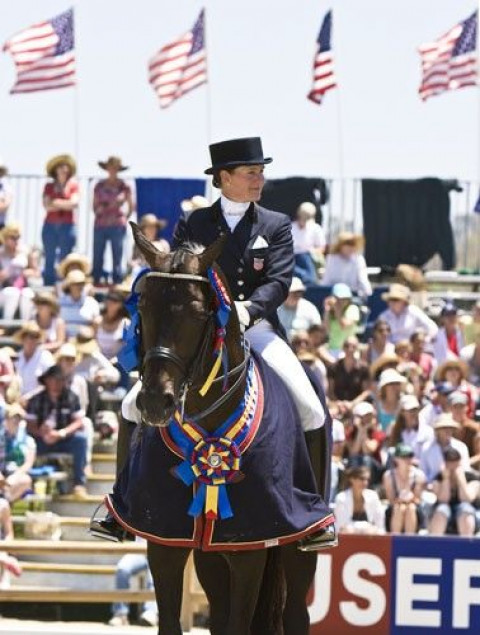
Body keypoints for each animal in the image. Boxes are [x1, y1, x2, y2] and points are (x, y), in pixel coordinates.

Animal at [108, 221, 334, 632]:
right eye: (143, 306)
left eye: (198, 312)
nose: (156, 402)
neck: (209, 417)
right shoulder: (164, 538)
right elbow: (173, 621)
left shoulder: (251, 544)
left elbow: (240, 623)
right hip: (211, 551)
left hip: (298, 539)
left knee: (296, 612)